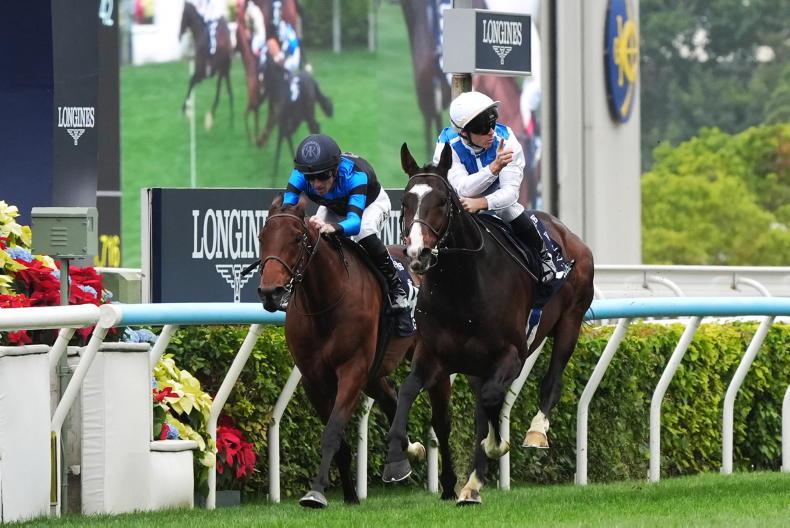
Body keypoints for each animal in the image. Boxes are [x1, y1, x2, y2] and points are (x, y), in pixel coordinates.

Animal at [179, 1, 234, 131]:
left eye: (183, 14)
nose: (180, 33)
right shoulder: (207, 72)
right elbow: (192, 82)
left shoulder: (202, 73)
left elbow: (191, 81)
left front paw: (185, 109)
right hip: (224, 70)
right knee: (228, 93)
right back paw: (229, 122)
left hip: (222, 70)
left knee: (224, 93)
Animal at [253, 194, 427, 508]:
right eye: (262, 237)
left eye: (296, 238)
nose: (270, 292)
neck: (325, 301)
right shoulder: (313, 378)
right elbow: (340, 442)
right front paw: (348, 495)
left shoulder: (352, 370)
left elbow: (333, 431)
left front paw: (316, 493)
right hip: (375, 371)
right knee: (391, 398)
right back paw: (403, 457)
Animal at [382, 143, 594, 505]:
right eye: (406, 202)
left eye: (443, 201)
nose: (417, 253)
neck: (462, 288)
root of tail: (569, 235)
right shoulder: (432, 354)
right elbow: (409, 391)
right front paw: (401, 456)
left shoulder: (511, 353)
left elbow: (493, 400)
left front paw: (496, 445)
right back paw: (470, 485)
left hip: (571, 321)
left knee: (550, 381)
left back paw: (534, 433)